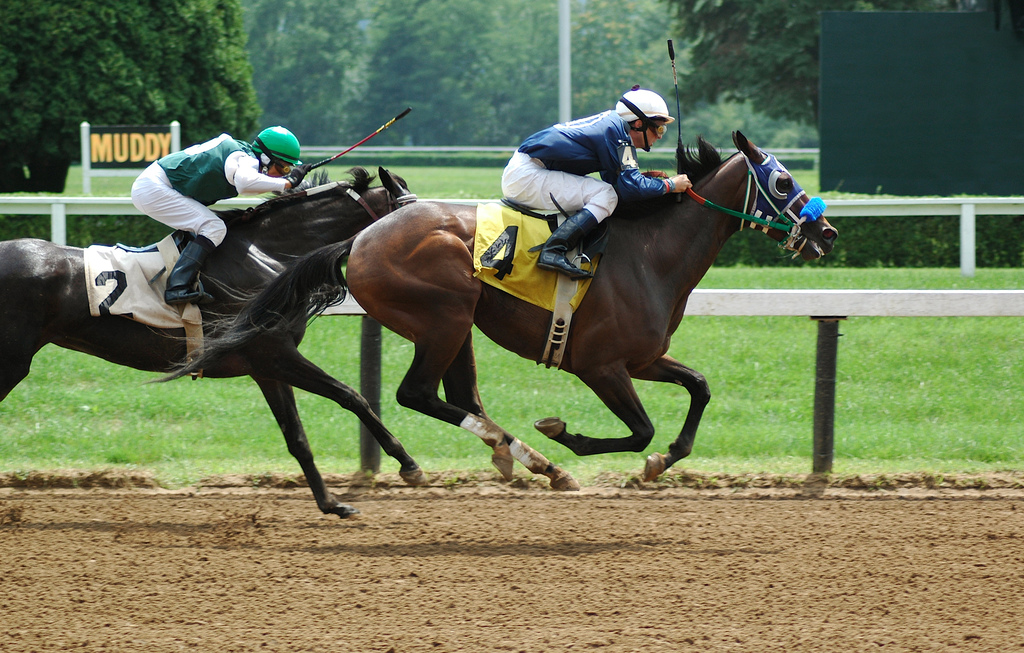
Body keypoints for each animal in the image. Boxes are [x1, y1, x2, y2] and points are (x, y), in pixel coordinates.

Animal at [0, 167, 425, 517]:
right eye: (412, 216)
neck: (269, 255)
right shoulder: (275, 353)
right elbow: (352, 396)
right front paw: (408, 464)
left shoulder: (266, 367)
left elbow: (297, 437)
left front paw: (333, 504)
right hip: (13, 360)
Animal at [167, 132, 839, 489]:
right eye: (782, 183)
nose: (826, 231)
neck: (652, 254)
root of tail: (358, 240)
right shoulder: (600, 365)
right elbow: (639, 428)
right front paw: (565, 433)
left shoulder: (643, 358)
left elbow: (698, 388)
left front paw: (658, 463)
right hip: (443, 316)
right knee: (417, 394)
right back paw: (534, 459)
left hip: (458, 325)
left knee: (457, 396)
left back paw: (521, 458)